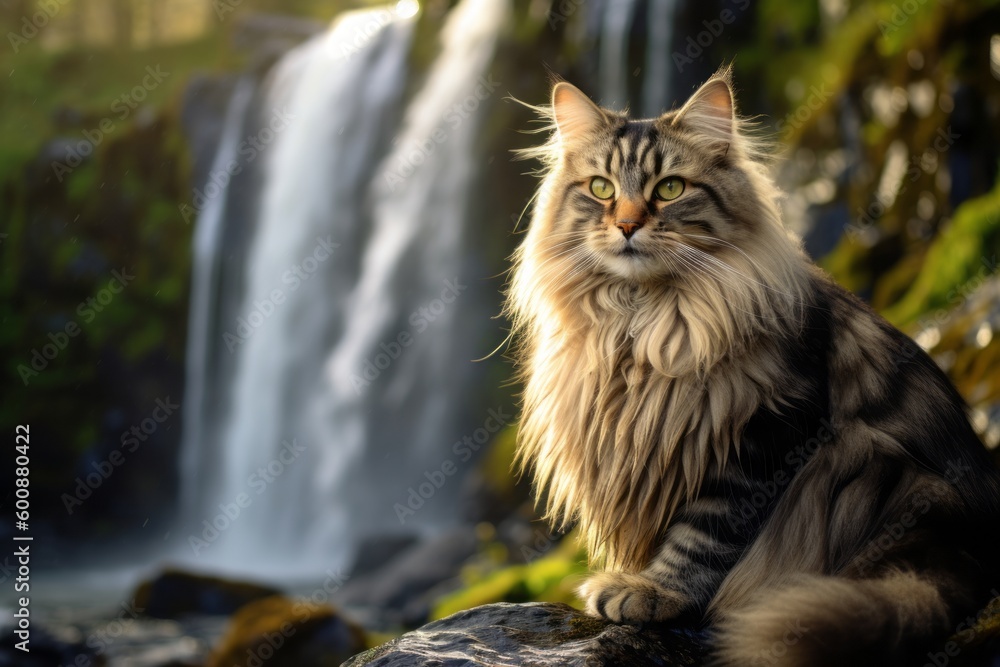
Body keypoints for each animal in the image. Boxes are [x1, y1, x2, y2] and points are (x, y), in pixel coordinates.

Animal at [508, 69, 1000, 667]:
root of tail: (972, 548)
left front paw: (652, 591)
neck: (641, 322)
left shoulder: (767, 435)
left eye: (669, 189)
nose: (626, 225)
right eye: (601, 188)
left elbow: (703, 537)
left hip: (882, 476)